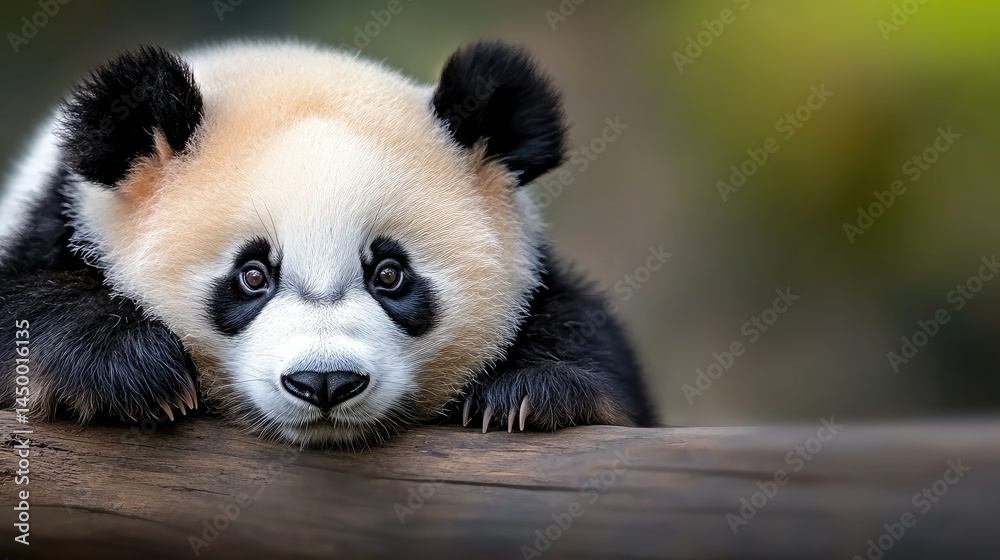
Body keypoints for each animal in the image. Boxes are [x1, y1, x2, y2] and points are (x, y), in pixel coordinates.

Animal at [0, 40, 654, 446]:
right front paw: (127, 369)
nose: (325, 383)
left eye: (389, 274)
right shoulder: (55, 219)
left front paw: (530, 392)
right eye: (252, 275)